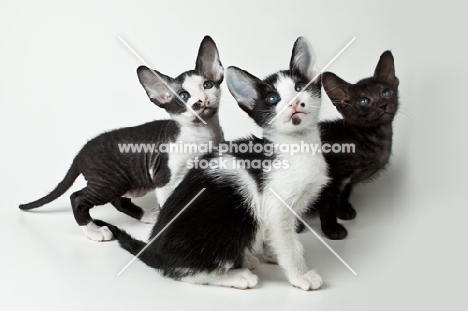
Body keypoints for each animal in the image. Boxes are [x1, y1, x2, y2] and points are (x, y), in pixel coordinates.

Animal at [19, 36, 228, 241]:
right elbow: (170, 205)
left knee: (118, 201)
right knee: (77, 197)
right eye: (184, 96)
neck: (202, 134)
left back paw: (146, 215)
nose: (201, 101)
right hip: (111, 181)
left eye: (207, 85)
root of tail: (83, 150)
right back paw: (94, 231)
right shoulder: (165, 180)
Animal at [95, 37, 330, 292]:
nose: (295, 103)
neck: (299, 145)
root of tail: (154, 248)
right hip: (232, 214)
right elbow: (288, 244)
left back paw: (244, 258)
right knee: (182, 271)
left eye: (300, 88)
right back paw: (236, 274)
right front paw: (300, 275)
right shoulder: (276, 205)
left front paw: (272, 254)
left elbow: (275, 237)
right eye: (272, 99)